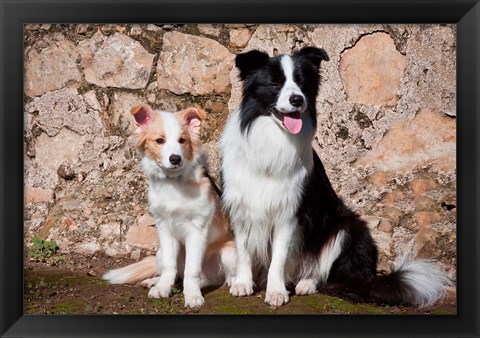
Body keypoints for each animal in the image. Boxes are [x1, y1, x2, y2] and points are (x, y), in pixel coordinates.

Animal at [103, 104, 236, 308]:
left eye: (182, 140)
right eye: (159, 140)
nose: (175, 159)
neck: (173, 183)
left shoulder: (197, 229)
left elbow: (192, 270)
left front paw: (192, 296)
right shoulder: (164, 227)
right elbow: (169, 266)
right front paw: (162, 288)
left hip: (229, 253)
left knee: (212, 277)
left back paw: (234, 283)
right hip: (160, 251)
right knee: (179, 273)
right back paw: (154, 281)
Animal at [219, 47, 452, 308]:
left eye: (302, 83)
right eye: (275, 83)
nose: (297, 99)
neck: (271, 139)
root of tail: (367, 279)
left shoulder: (289, 213)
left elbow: (278, 258)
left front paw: (276, 291)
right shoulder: (240, 207)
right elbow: (243, 251)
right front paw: (242, 283)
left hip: (347, 226)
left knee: (324, 272)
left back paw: (306, 284)